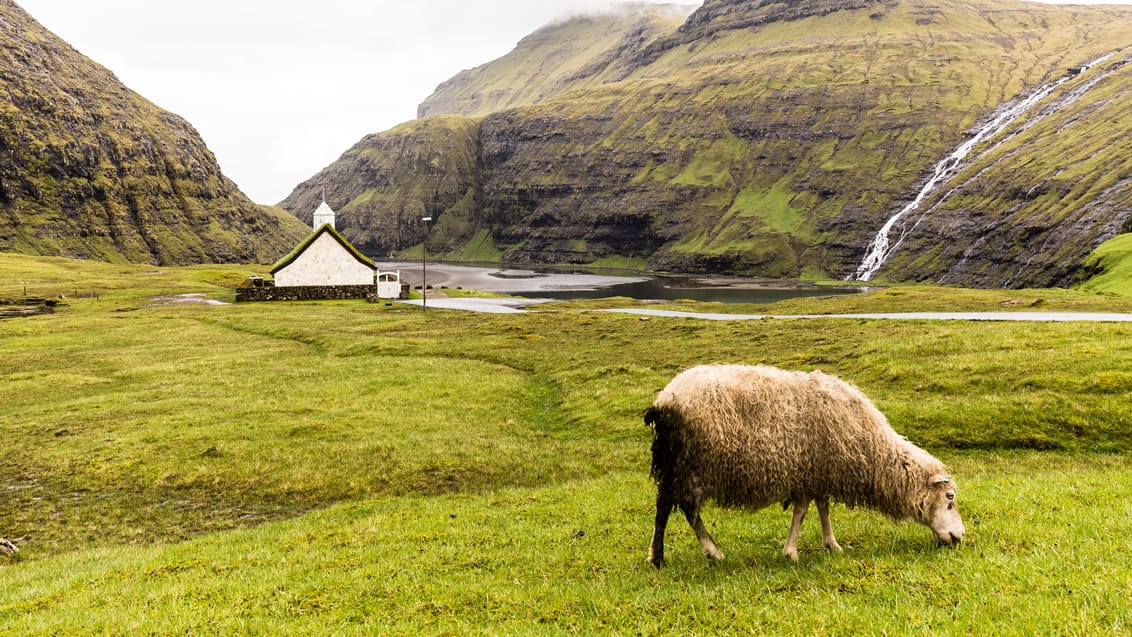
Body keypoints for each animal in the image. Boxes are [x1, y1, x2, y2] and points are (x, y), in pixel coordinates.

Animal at [647, 364, 964, 567]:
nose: (960, 537)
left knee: (665, 507)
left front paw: (831, 544)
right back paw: (707, 552)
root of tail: (665, 400)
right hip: (690, 464)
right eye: (949, 498)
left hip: (675, 465)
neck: (871, 447)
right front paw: (792, 552)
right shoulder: (810, 473)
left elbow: (822, 508)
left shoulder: (817, 472)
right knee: (685, 509)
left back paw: (658, 557)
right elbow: (802, 511)